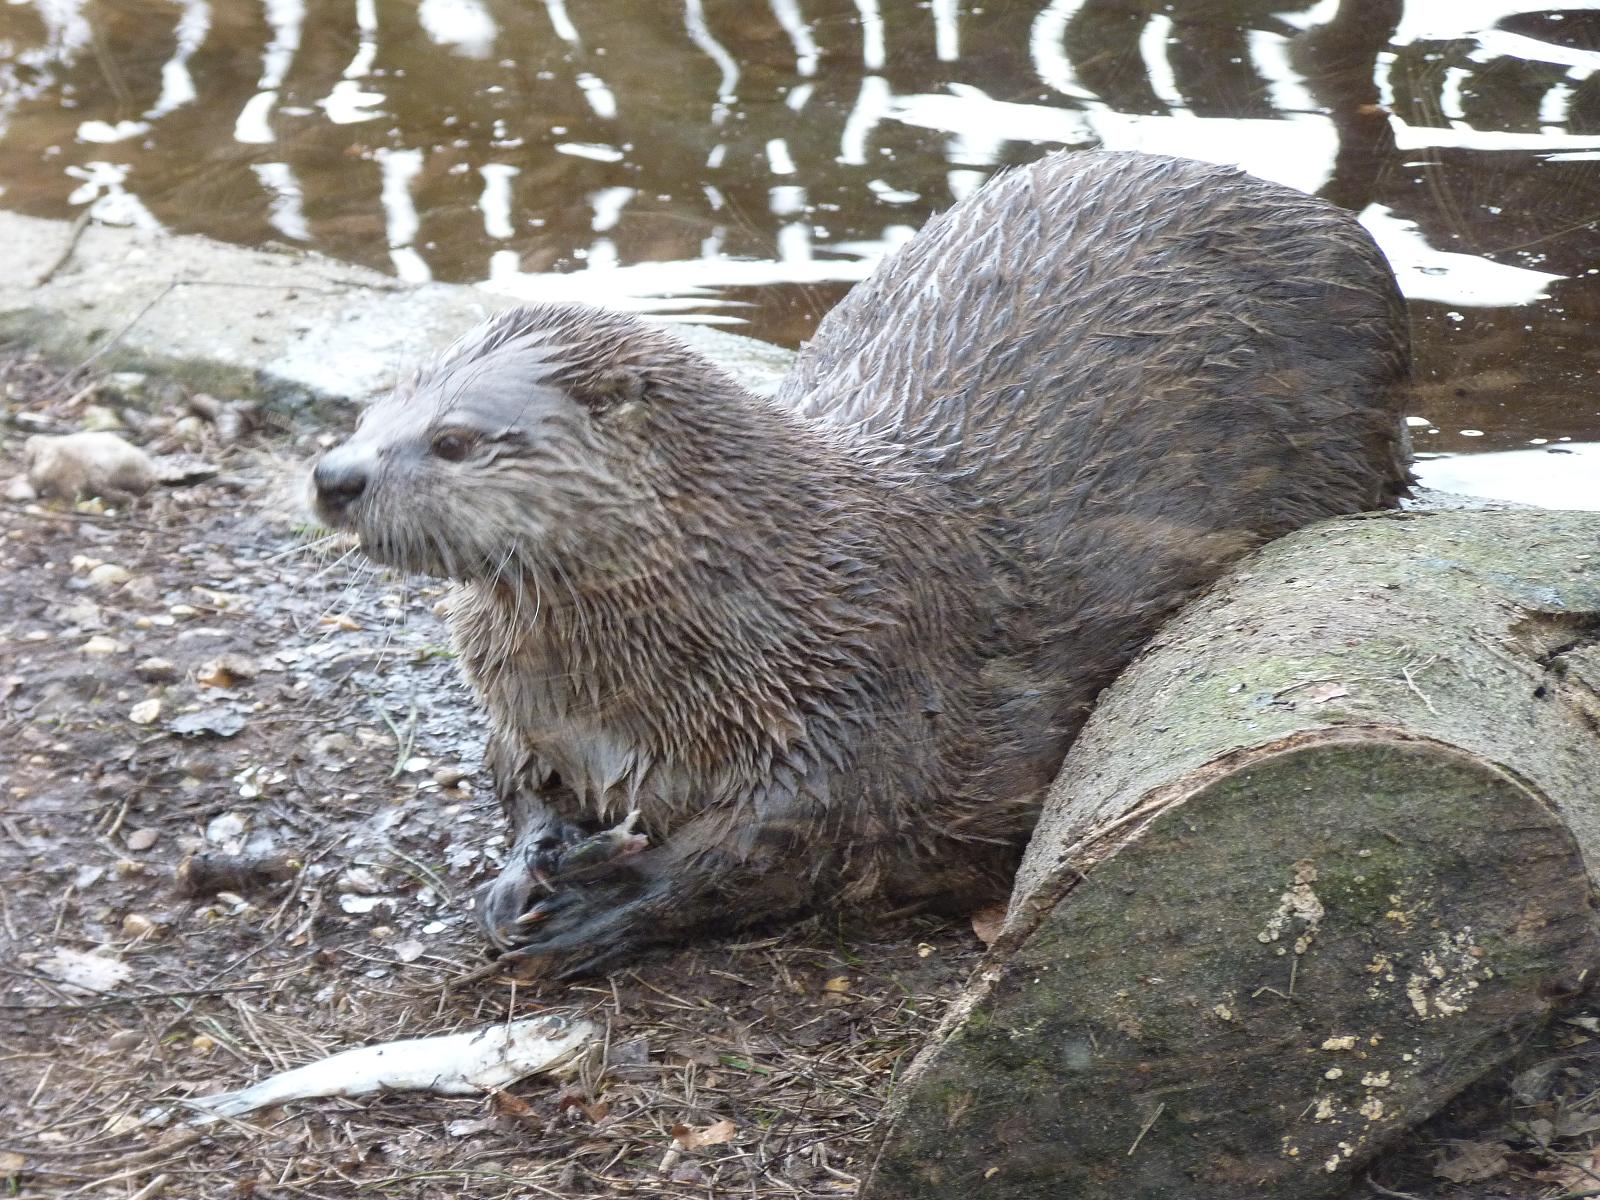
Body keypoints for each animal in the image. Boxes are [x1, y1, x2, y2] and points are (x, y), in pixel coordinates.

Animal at [312, 150, 1410, 976]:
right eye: (376, 407)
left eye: (454, 439)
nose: (334, 474)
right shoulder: (533, 720)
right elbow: (520, 788)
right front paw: (521, 876)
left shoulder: (853, 704)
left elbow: (774, 847)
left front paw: (598, 909)